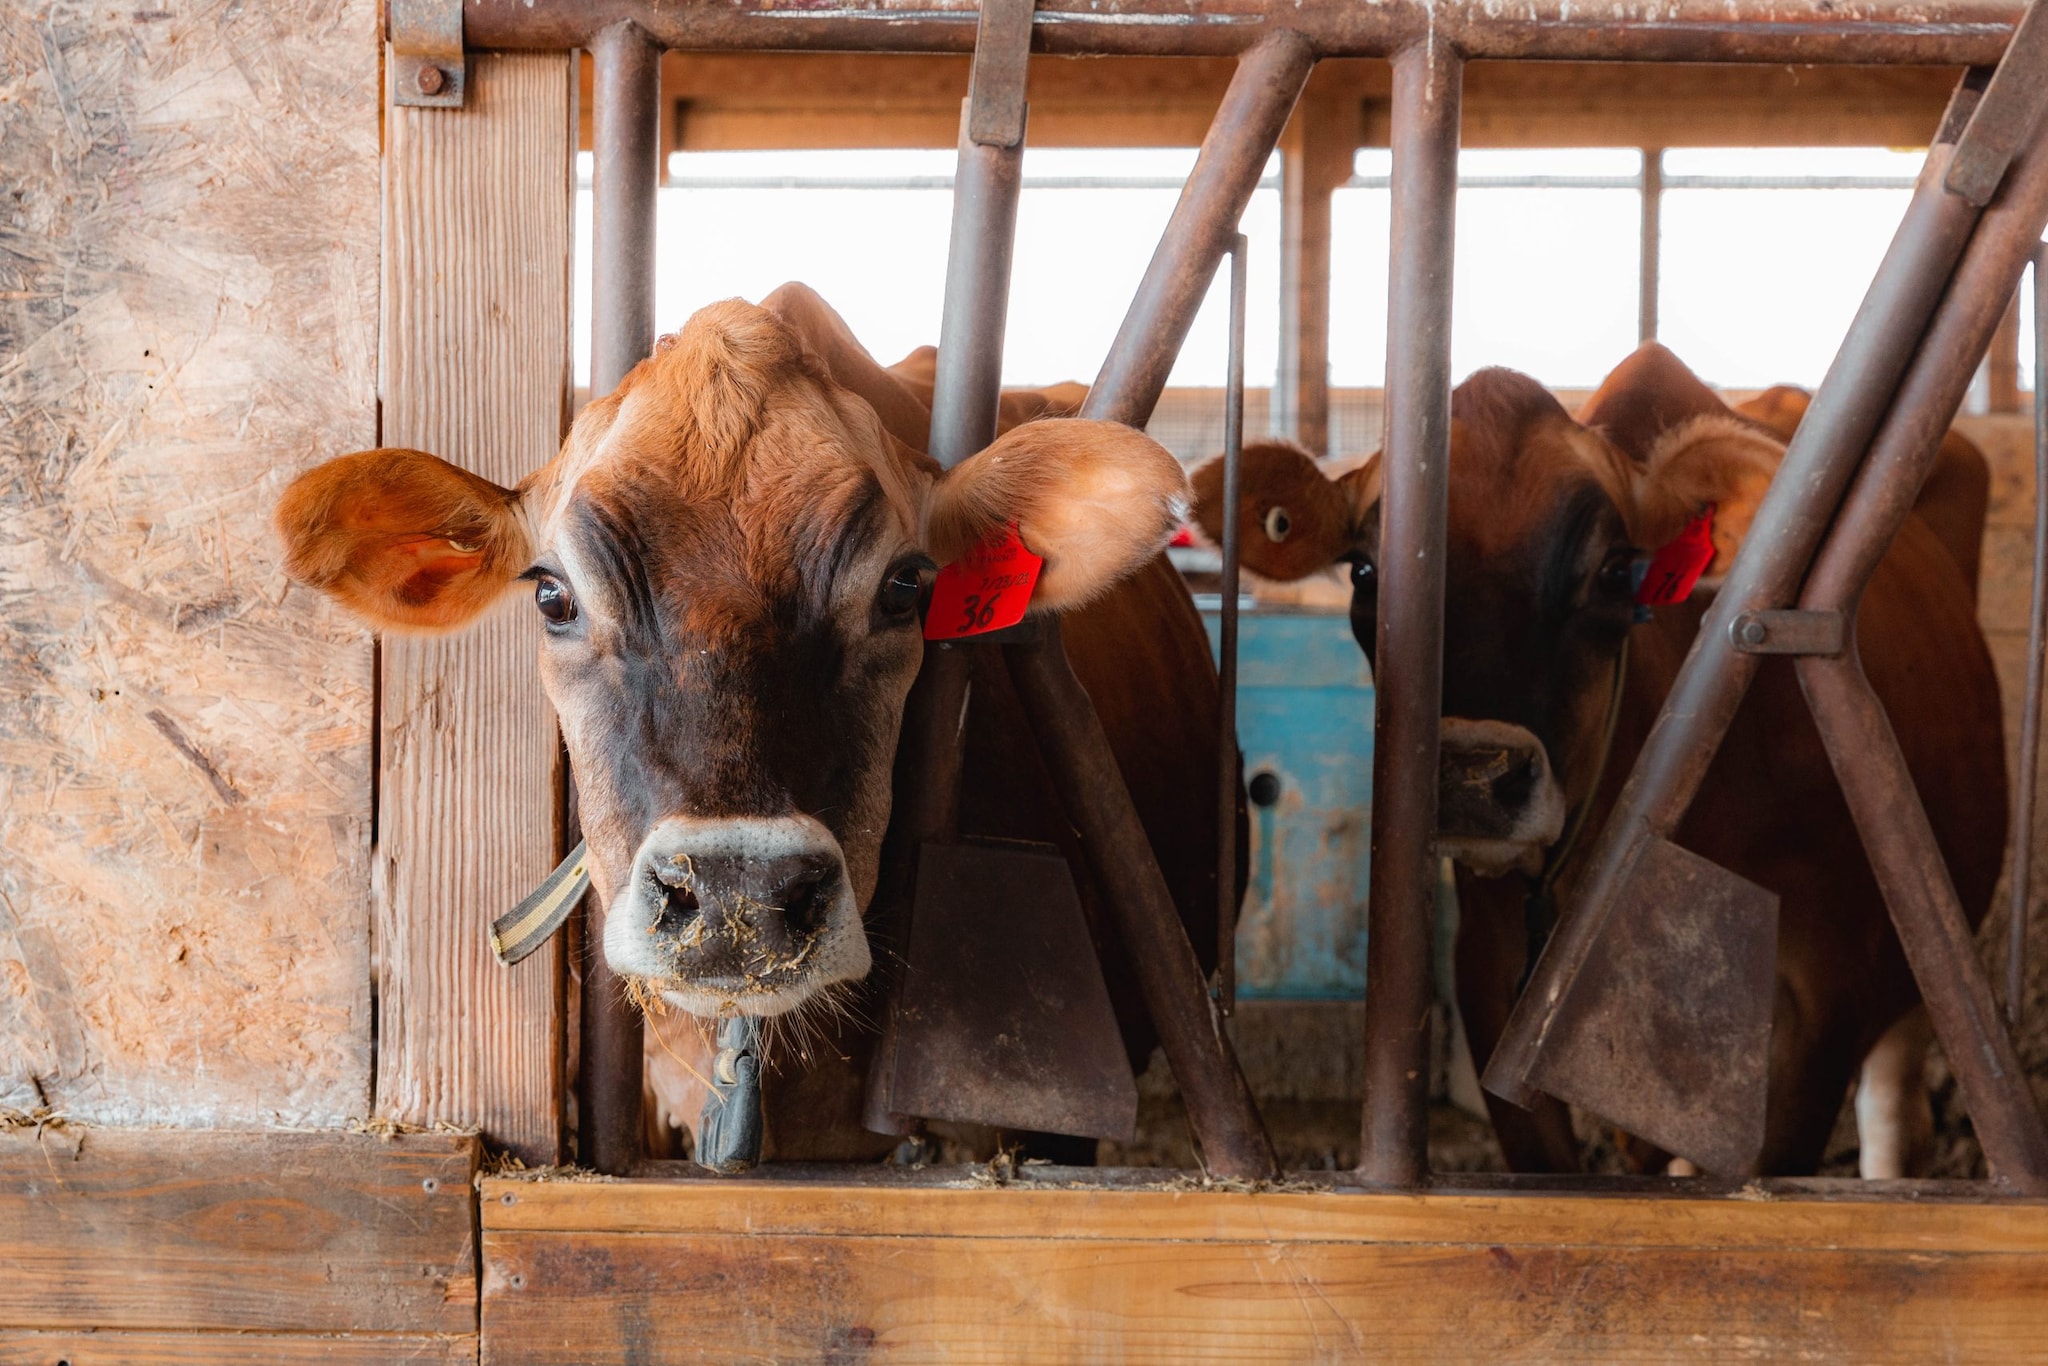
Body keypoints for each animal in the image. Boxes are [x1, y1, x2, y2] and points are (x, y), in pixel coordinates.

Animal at [1196, 348, 2007, 1179]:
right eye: (1365, 573)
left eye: (1616, 574)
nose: (1469, 775)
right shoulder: (1490, 975)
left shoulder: (1827, 1000)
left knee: (1893, 1113)